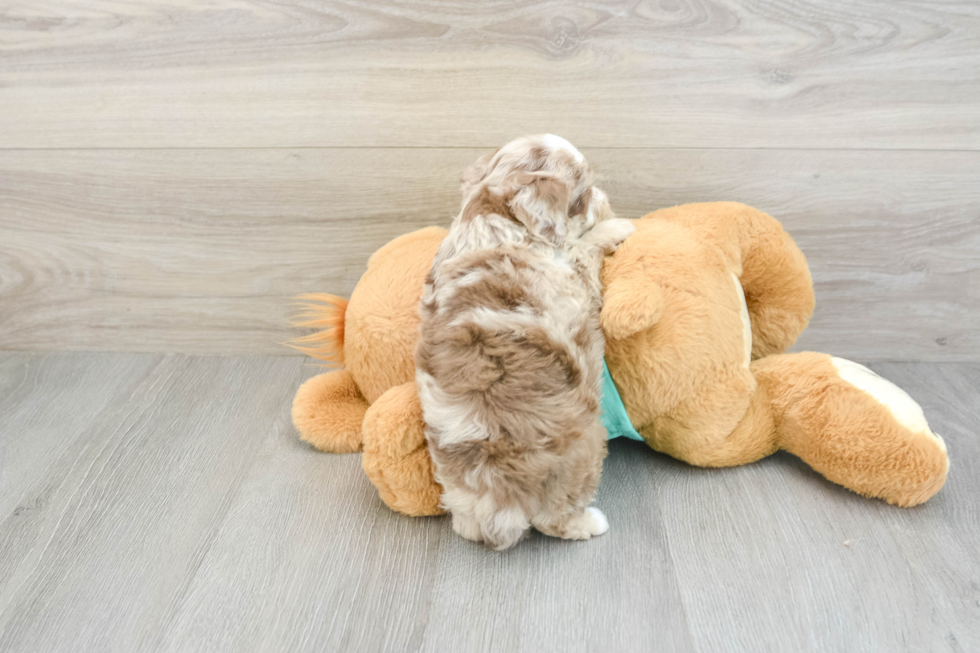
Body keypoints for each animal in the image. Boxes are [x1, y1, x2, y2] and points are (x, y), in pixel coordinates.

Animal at [414, 134, 636, 552]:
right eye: (582, 196)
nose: (603, 196)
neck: (489, 215)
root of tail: (502, 506)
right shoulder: (575, 284)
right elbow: (583, 249)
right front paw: (615, 225)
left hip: (460, 498)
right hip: (584, 447)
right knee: (555, 518)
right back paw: (589, 523)